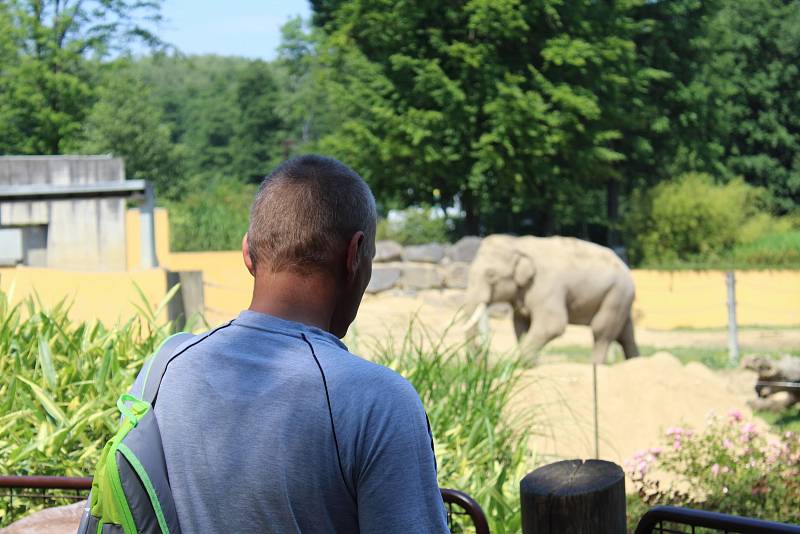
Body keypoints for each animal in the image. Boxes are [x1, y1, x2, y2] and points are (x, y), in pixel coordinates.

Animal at [462, 234, 636, 364]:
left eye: (491, 275)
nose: (479, 359)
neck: (518, 243)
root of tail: (626, 268)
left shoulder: (547, 287)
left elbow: (552, 324)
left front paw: (525, 364)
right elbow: (520, 325)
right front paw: (530, 365)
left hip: (616, 295)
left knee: (601, 330)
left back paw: (595, 365)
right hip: (621, 298)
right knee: (625, 334)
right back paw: (634, 361)